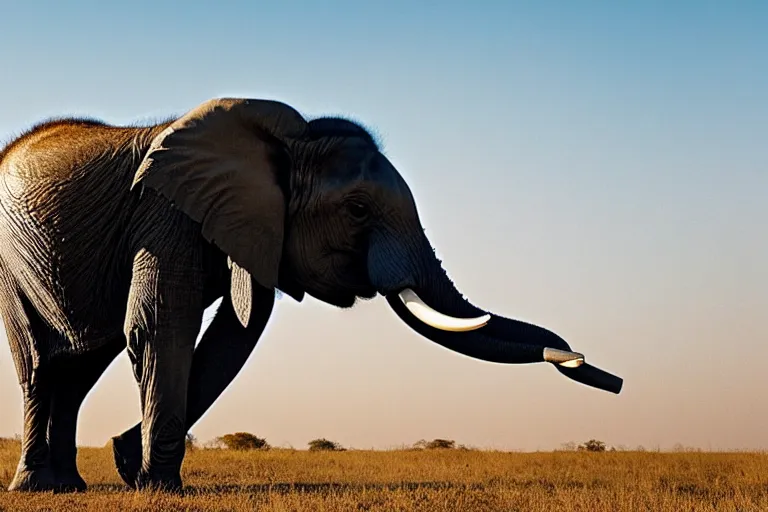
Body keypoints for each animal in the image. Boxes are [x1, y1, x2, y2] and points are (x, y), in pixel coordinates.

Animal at [0, 96, 620, 492]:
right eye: (359, 210)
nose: (604, 374)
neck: (283, 145)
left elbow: (239, 330)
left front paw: (134, 468)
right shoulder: (165, 214)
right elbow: (160, 327)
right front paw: (156, 486)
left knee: (79, 367)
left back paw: (72, 486)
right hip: (12, 261)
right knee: (40, 364)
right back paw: (37, 488)